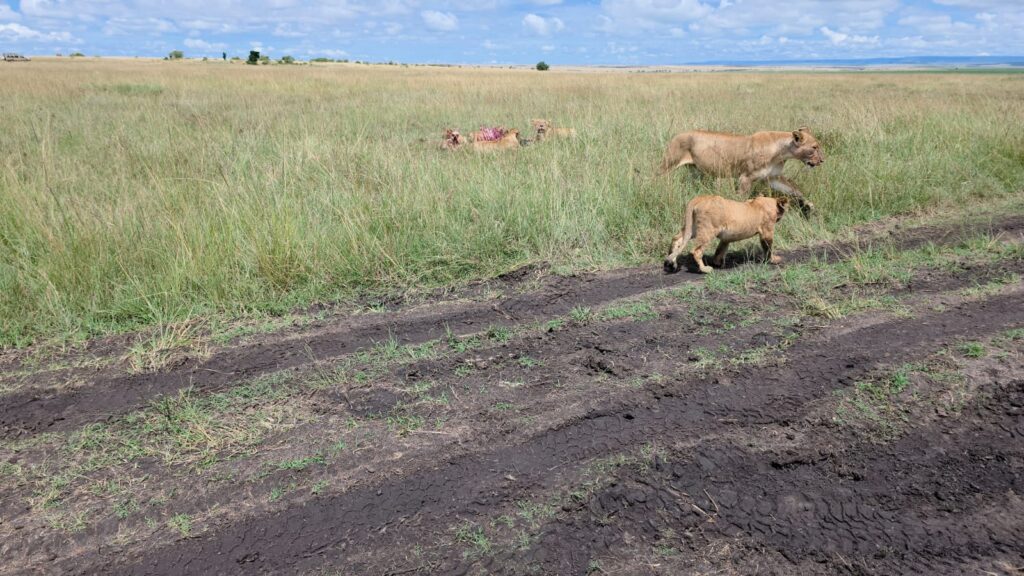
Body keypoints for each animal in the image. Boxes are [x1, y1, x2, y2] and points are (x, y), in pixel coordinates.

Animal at [658, 127, 823, 217]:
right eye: (814, 147)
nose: (822, 160)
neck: (782, 152)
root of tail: (676, 135)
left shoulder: (772, 177)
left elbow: (795, 190)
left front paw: (811, 207)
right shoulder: (746, 177)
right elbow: (741, 199)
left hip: (696, 171)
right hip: (668, 164)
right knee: (658, 178)